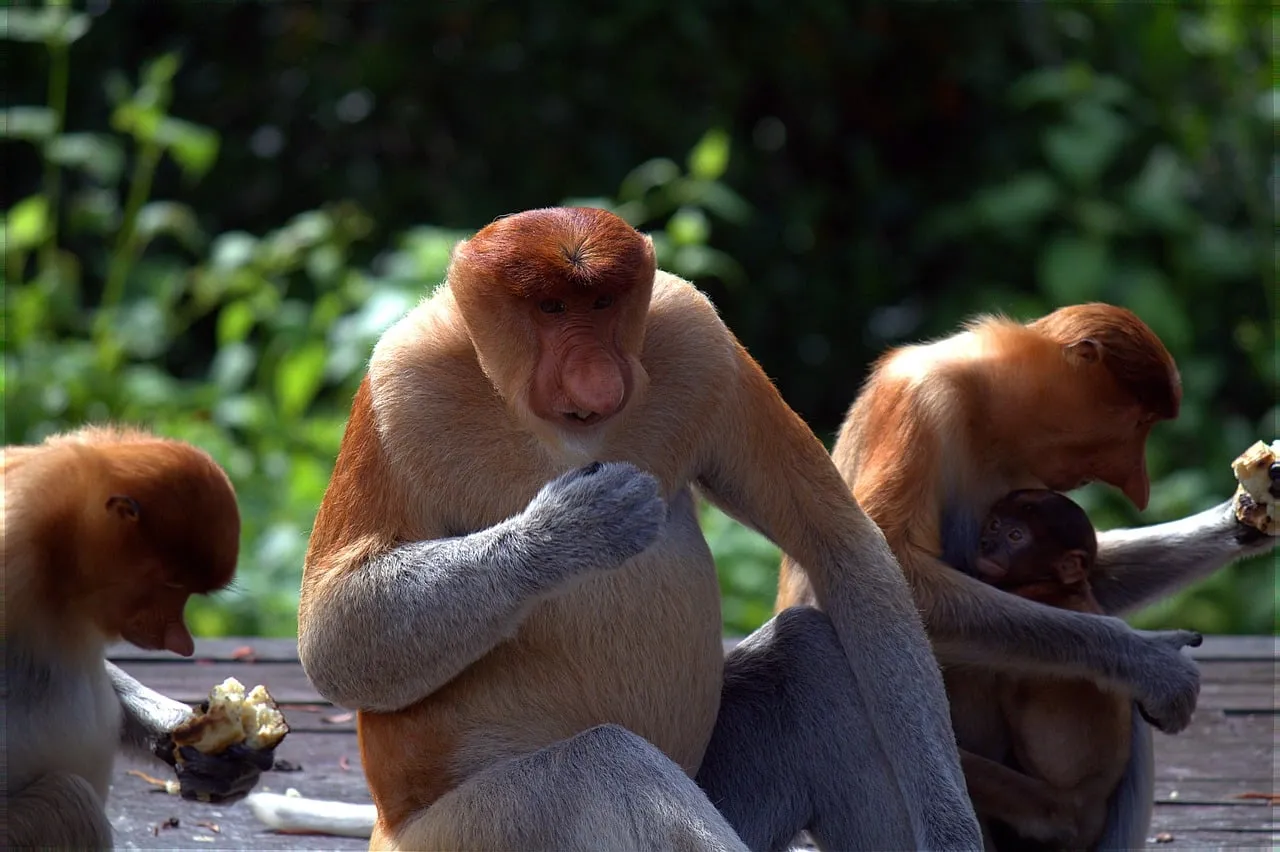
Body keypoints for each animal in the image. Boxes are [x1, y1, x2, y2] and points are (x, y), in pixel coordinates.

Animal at [270, 206, 984, 851]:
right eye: (552, 308)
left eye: (603, 302)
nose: (596, 376)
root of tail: (386, 829)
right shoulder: (398, 386)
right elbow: (333, 632)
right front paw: (577, 525)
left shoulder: (702, 341)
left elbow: (842, 546)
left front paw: (951, 831)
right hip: (474, 833)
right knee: (607, 768)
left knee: (812, 656)